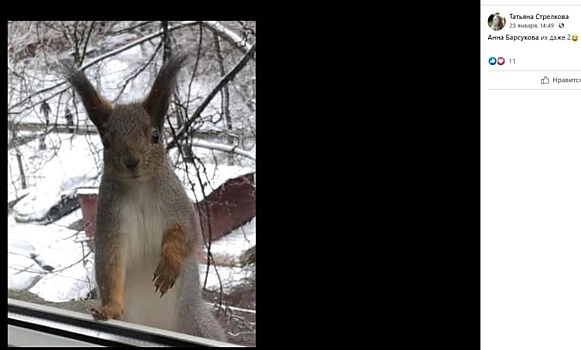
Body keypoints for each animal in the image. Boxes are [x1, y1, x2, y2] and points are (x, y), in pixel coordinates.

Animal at [61, 54, 227, 342]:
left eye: (155, 136)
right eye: (105, 141)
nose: (131, 162)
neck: (138, 188)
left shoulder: (176, 202)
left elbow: (185, 232)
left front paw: (169, 266)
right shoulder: (111, 219)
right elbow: (110, 264)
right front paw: (109, 308)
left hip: (196, 323)